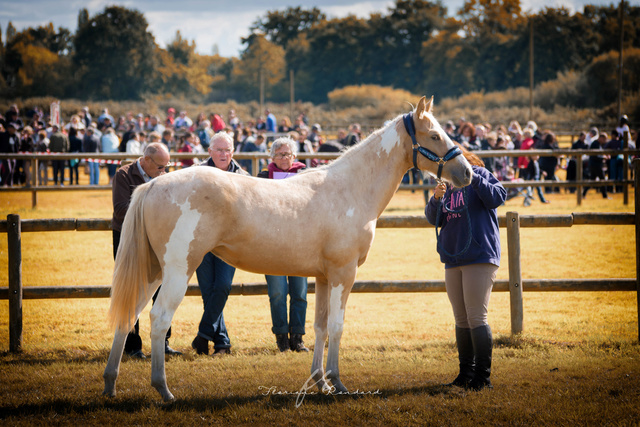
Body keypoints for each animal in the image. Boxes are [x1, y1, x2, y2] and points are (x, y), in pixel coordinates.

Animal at [102, 95, 472, 402]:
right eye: (434, 136)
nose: (467, 173)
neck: (349, 190)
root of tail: (152, 185)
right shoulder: (344, 273)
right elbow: (337, 326)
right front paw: (338, 384)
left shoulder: (323, 277)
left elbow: (319, 326)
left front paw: (319, 382)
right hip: (179, 271)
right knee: (158, 319)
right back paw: (164, 390)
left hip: (153, 270)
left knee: (129, 315)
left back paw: (110, 385)